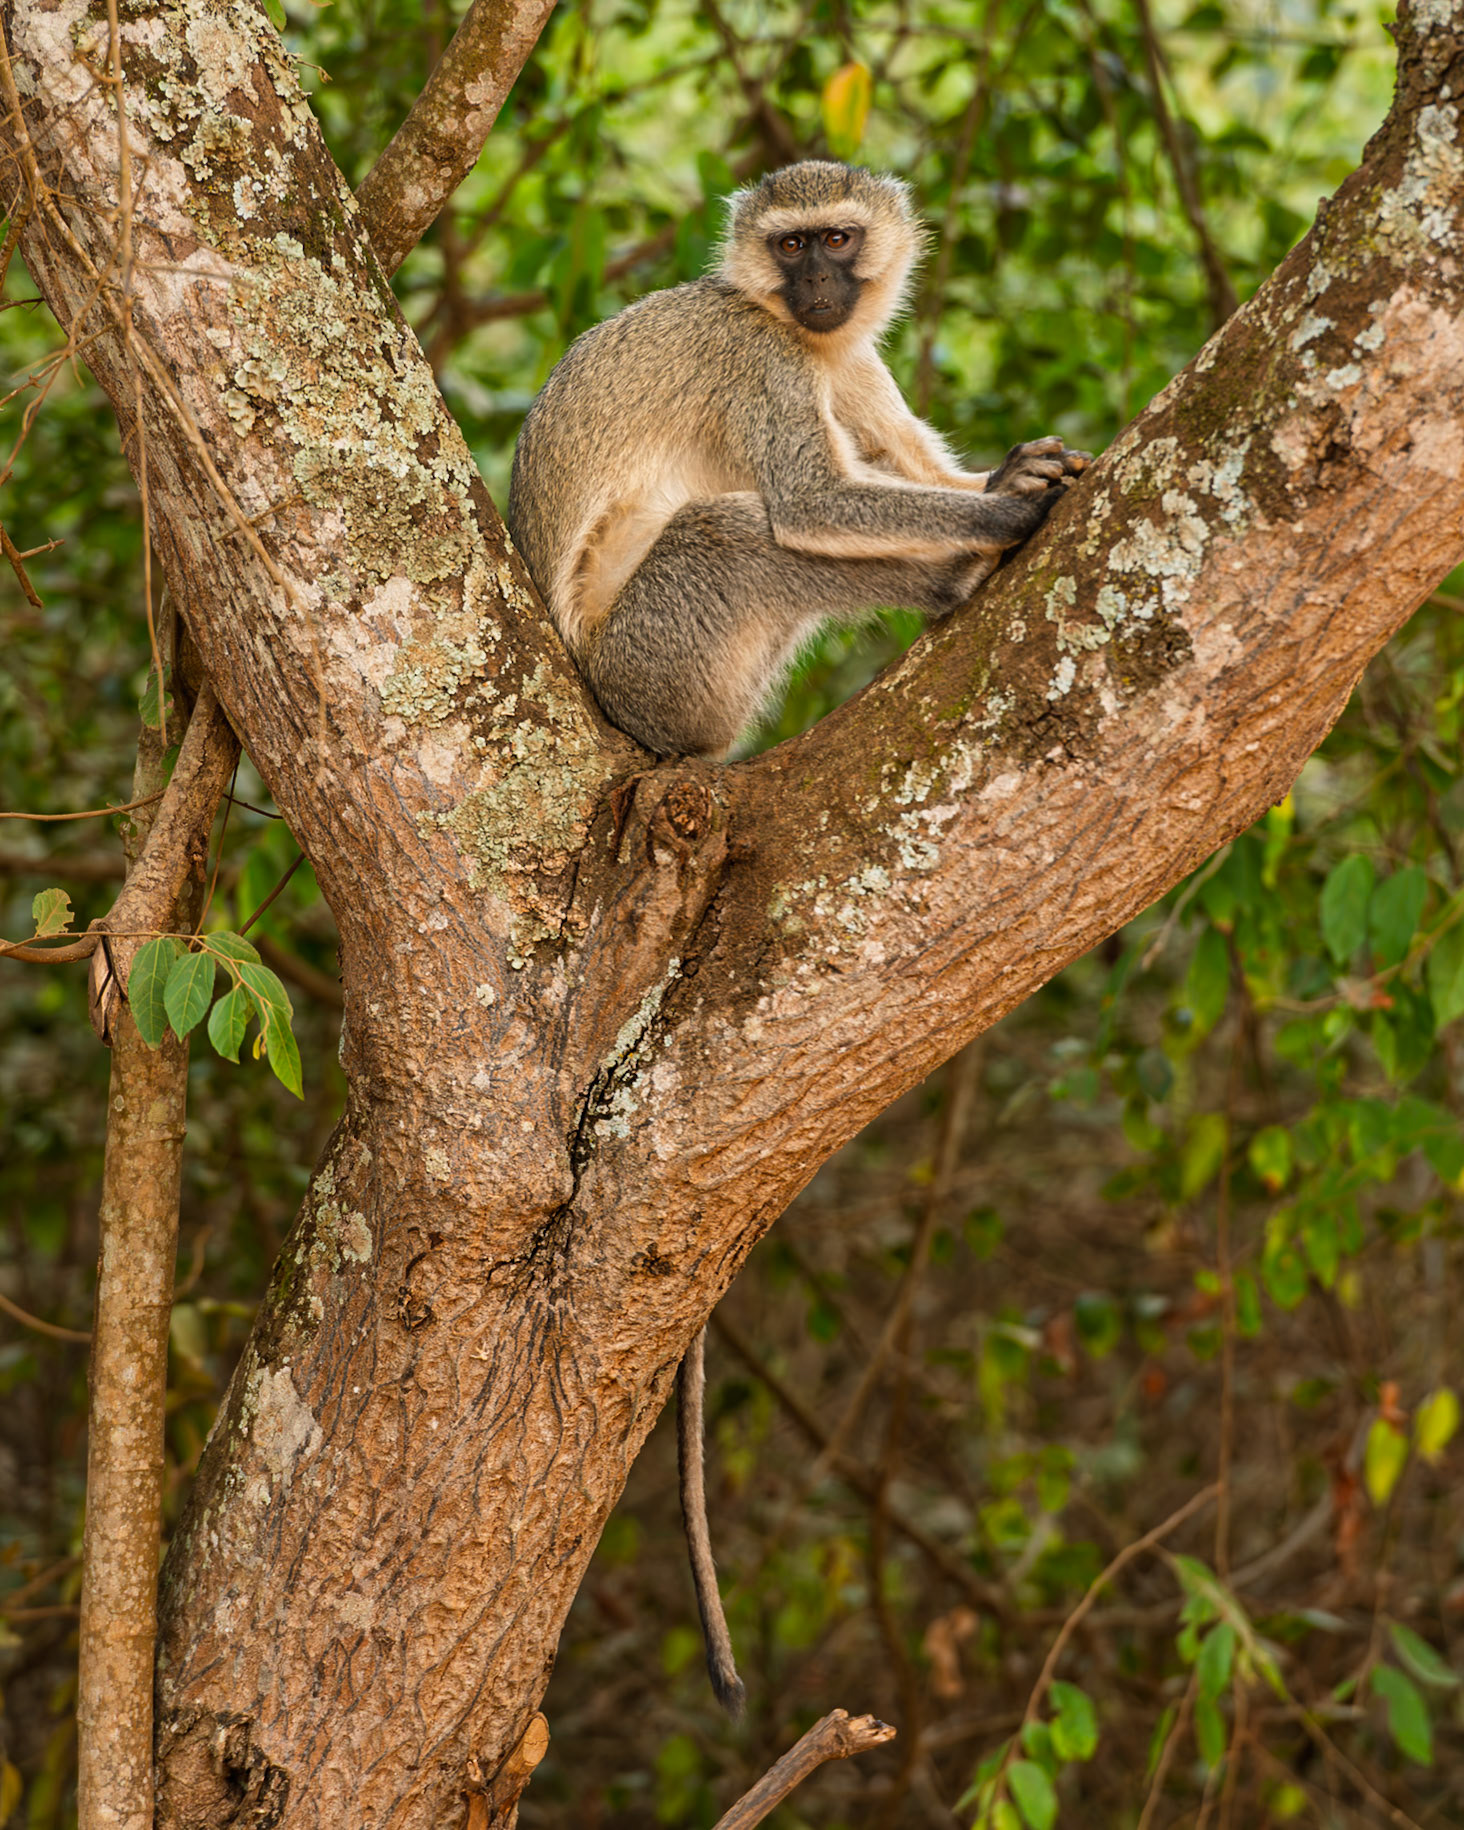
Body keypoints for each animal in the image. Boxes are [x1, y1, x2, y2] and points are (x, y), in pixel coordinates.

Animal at [507, 158, 1090, 760]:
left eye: (836, 240)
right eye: (790, 245)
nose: (816, 281)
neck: (777, 317)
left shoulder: (853, 361)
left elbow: (919, 473)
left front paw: (1013, 474)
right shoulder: (762, 359)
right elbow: (811, 503)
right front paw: (1006, 509)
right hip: (647, 665)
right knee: (720, 532)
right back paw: (952, 578)